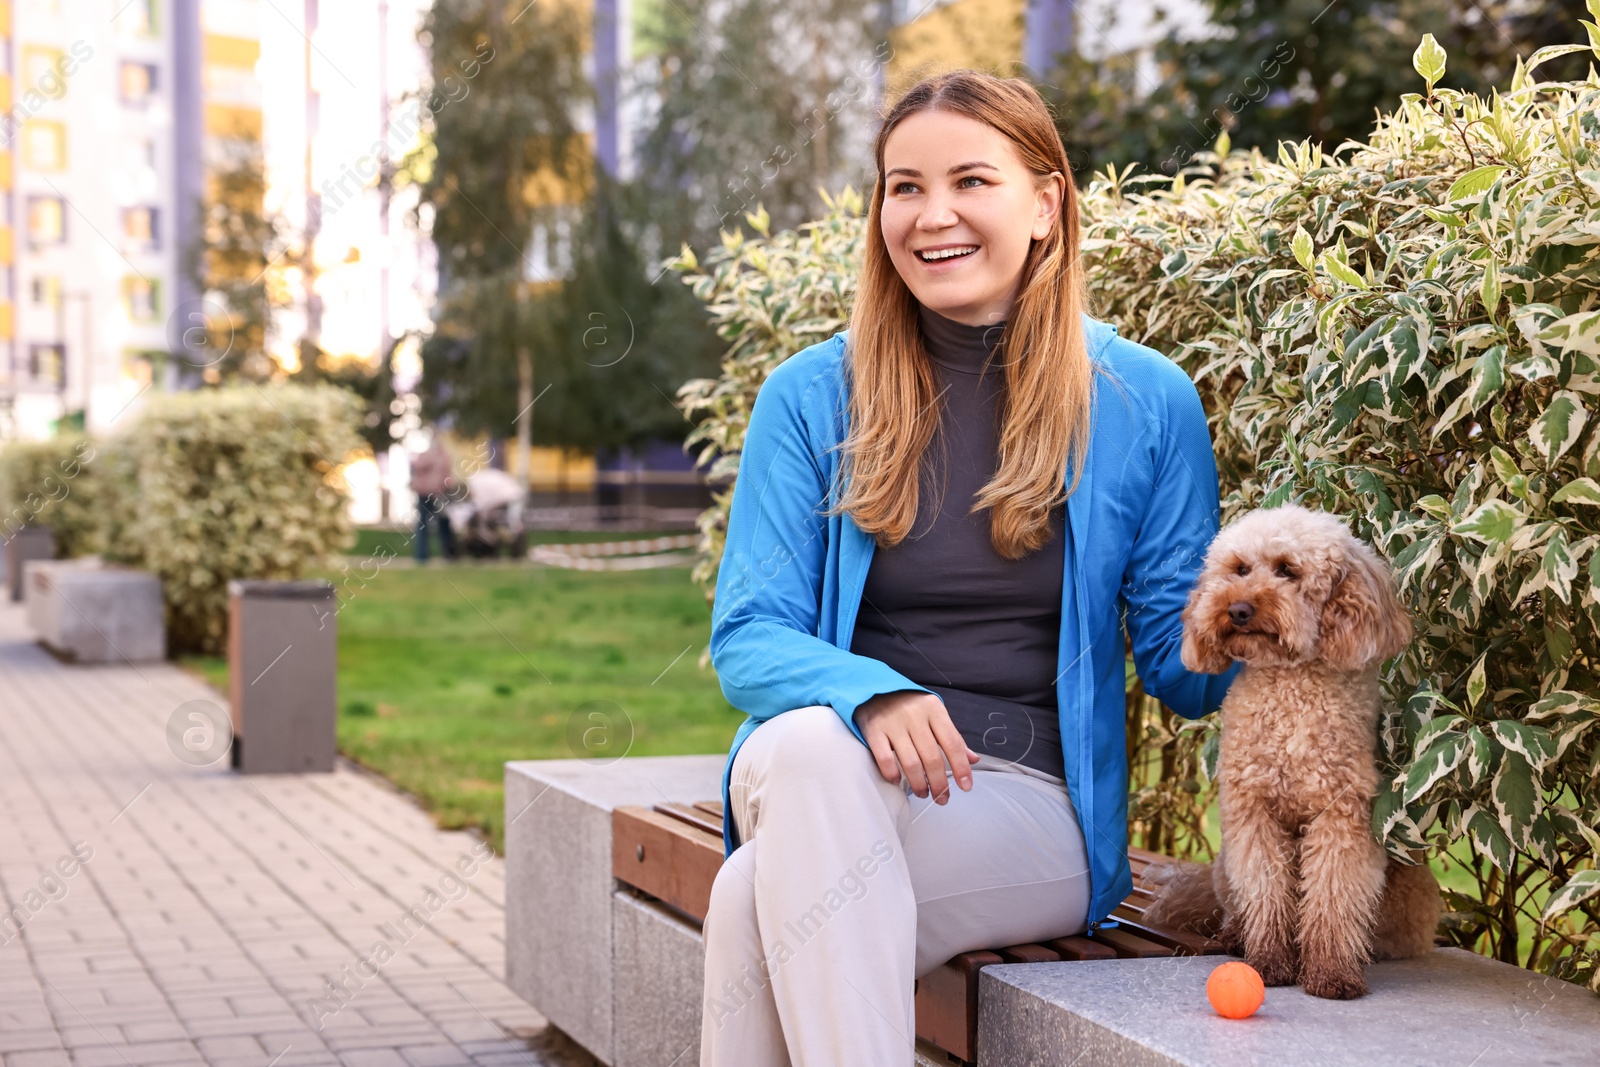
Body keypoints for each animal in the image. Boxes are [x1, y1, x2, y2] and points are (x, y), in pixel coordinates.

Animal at [1145, 505, 1446, 998]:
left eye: (1288, 570)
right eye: (1240, 569)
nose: (1238, 609)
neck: (1289, 686)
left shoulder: (1341, 817)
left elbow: (1332, 897)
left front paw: (1332, 973)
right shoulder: (1254, 815)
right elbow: (1266, 891)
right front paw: (1268, 962)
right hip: (1225, 865)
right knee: (1237, 904)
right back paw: (1235, 934)